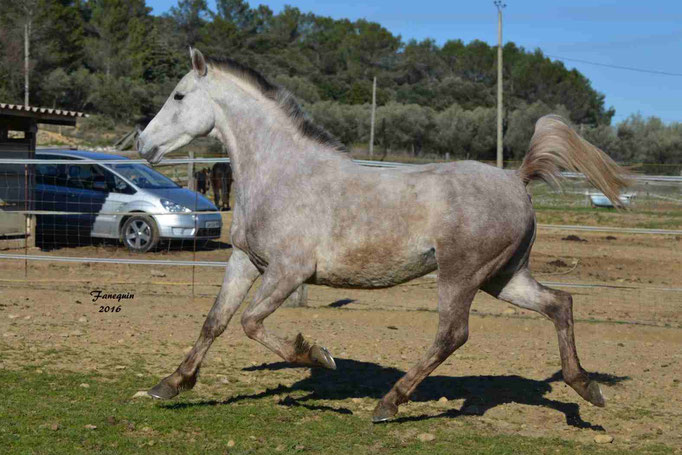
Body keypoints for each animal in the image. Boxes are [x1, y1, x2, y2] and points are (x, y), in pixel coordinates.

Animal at [137, 48, 628, 422]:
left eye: (179, 94)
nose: (143, 145)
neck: (282, 173)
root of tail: (516, 178)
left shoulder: (289, 272)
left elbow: (250, 322)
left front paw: (316, 354)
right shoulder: (245, 260)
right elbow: (215, 321)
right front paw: (170, 384)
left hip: (461, 275)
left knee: (452, 334)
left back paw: (388, 403)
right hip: (502, 277)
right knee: (560, 304)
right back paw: (586, 389)